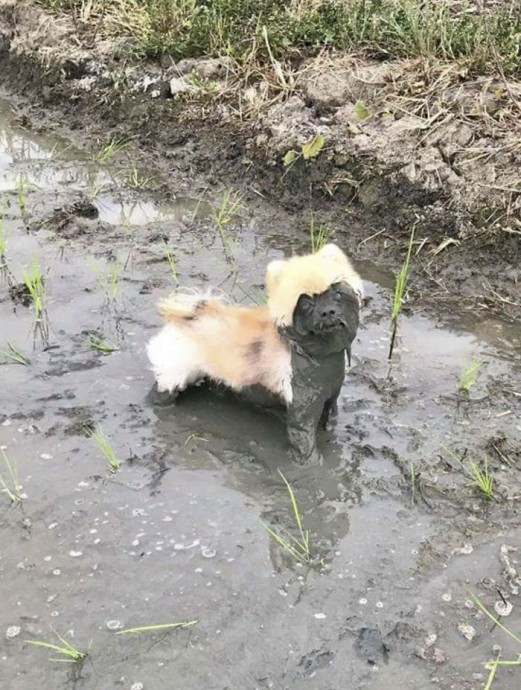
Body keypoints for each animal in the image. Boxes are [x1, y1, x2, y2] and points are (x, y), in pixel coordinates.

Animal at [146, 242, 362, 462]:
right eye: (305, 304)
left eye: (337, 293)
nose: (327, 312)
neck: (318, 355)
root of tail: (192, 315)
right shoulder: (303, 406)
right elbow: (304, 438)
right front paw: (311, 464)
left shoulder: (330, 397)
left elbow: (330, 419)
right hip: (175, 372)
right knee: (163, 389)